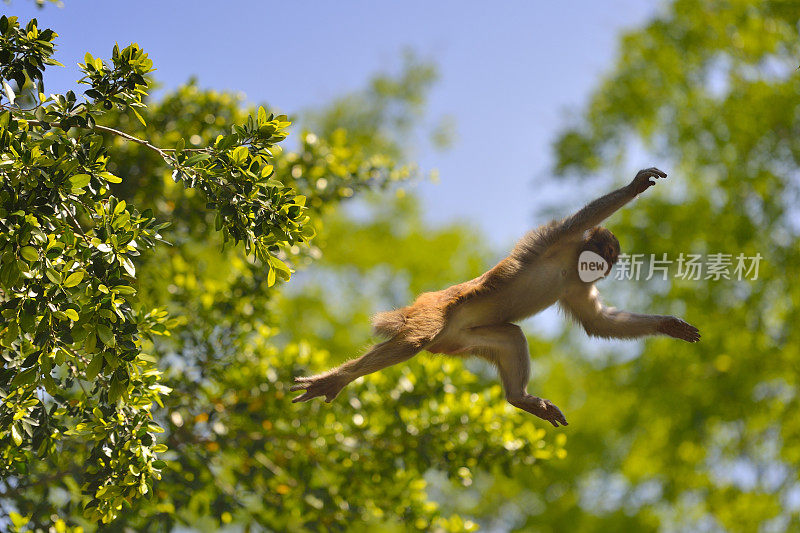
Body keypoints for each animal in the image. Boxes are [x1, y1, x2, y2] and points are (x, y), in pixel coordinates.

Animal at [290, 168, 696, 426]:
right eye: (603, 256)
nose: (603, 268)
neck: (570, 264)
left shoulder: (577, 285)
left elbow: (598, 322)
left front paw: (669, 325)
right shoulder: (557, 238)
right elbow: (581, 218)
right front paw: (635, 186)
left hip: (460, 339)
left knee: (510, 336)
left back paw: (518, 398)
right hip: (432, 311)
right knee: (414, 340)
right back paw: (338, 378)